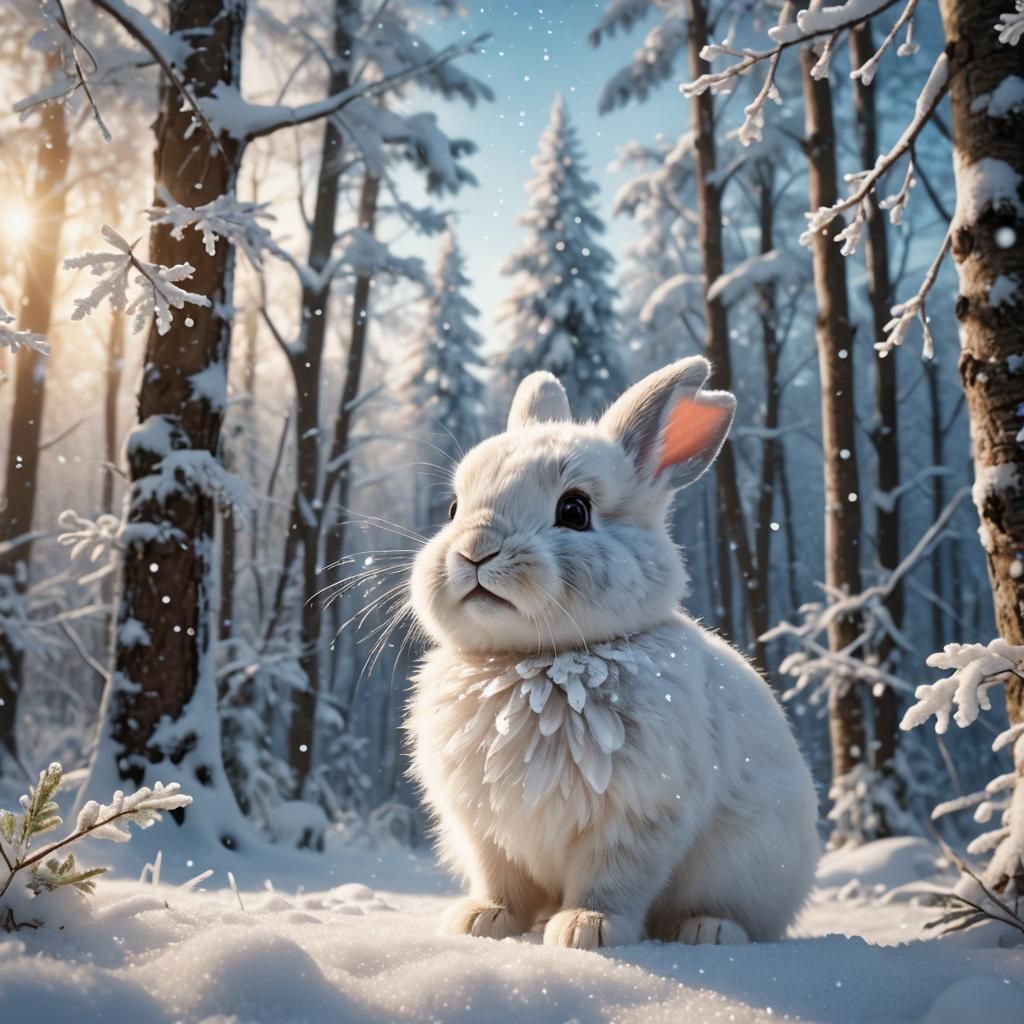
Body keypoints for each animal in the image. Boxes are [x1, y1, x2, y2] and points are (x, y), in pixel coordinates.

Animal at [405, 357, 820, 950]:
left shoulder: (637, 816)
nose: (474, 551)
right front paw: (480, 921)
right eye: (454, 507)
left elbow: (614, 880)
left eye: (575, 510)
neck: (536, 658)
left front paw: (586, 930)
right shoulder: (487, 828)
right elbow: (500, 879)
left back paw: (708, 931)